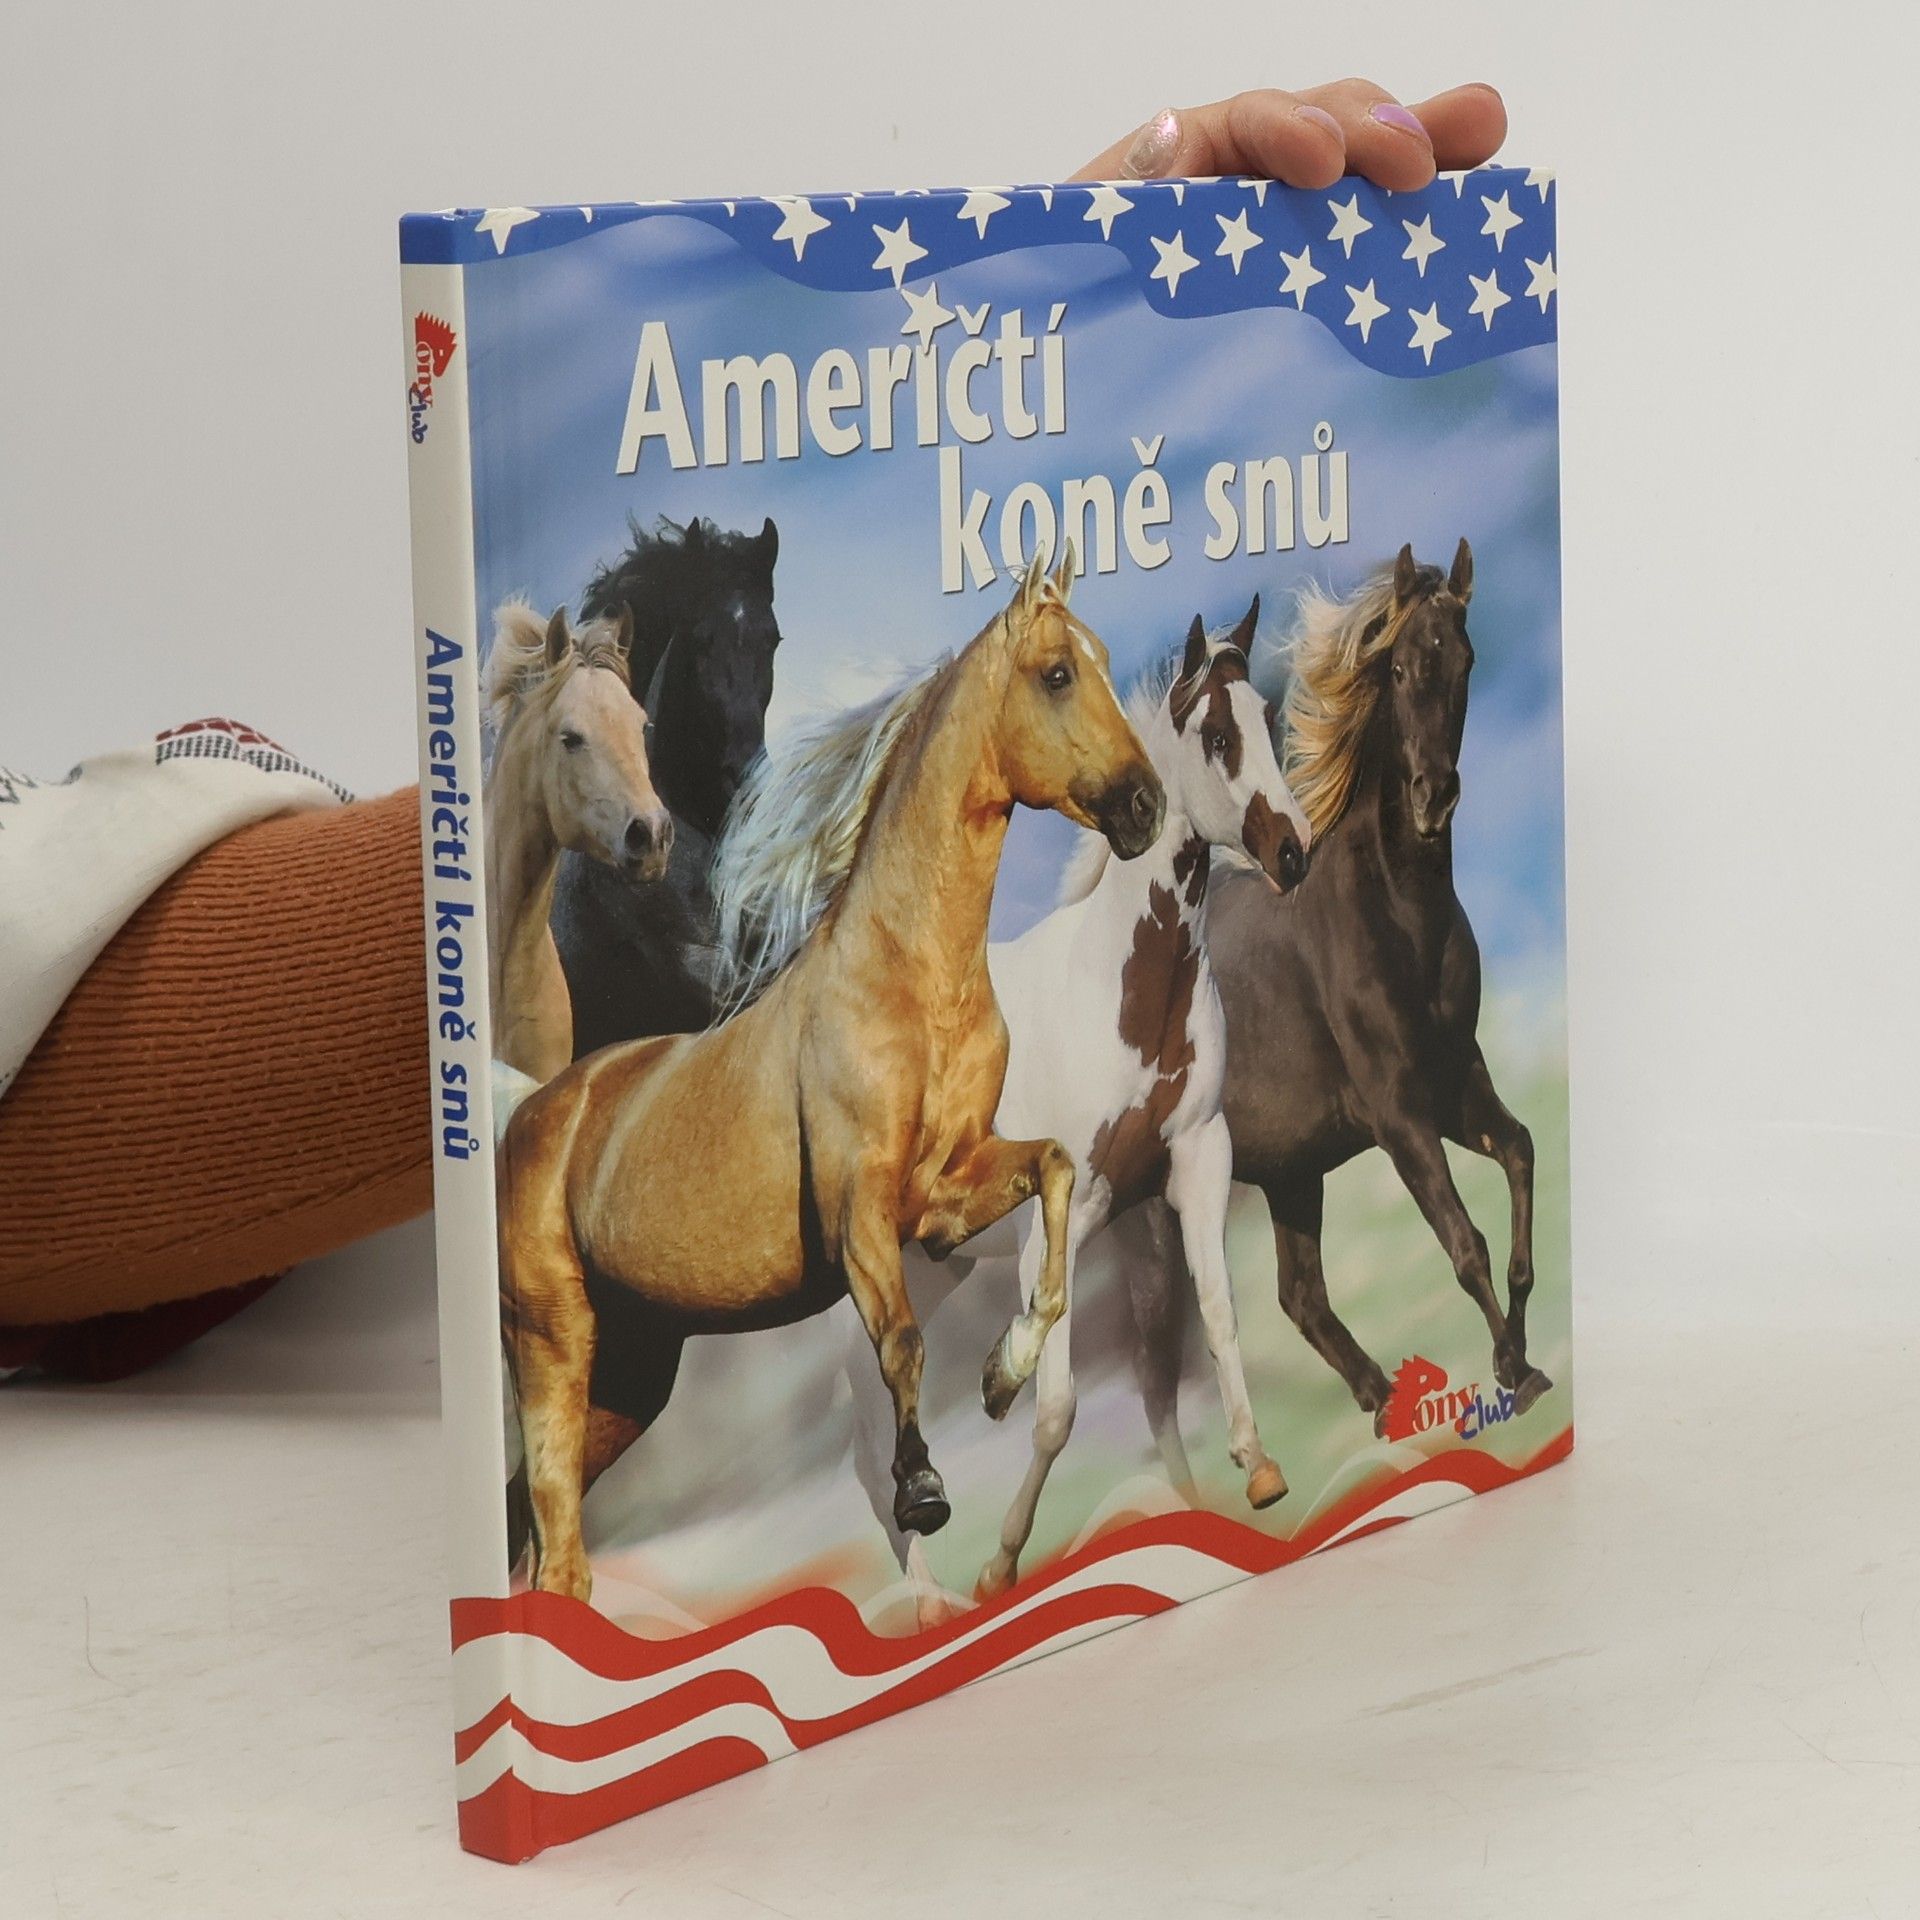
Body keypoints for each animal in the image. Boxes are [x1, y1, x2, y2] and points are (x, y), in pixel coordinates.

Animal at [843, 601, 1315, 1621]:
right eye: (1218, 737)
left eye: (1268, 717)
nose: (1295, 853)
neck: (1120, 992)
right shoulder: (1067, 1212)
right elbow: (1055, 1408)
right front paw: (1002, 1566)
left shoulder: (1192, 1167)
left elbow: (1211, 1321)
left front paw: (1256, 1471)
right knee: (869, 1444)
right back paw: (931, 1603)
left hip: (938, 1270)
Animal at [1128, 540, 1552, 1457]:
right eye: (1395, 666)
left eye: (1464, 659)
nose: (1433, 798)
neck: (1395, 914)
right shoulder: (1398, 1115)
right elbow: (1462, 1241)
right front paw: (1517, 1370)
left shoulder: (1456, 1080)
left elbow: (1521, 1156)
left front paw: (1515, 1360)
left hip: (1292, 1173)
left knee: (1300, 1296)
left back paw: (1384, 1400)